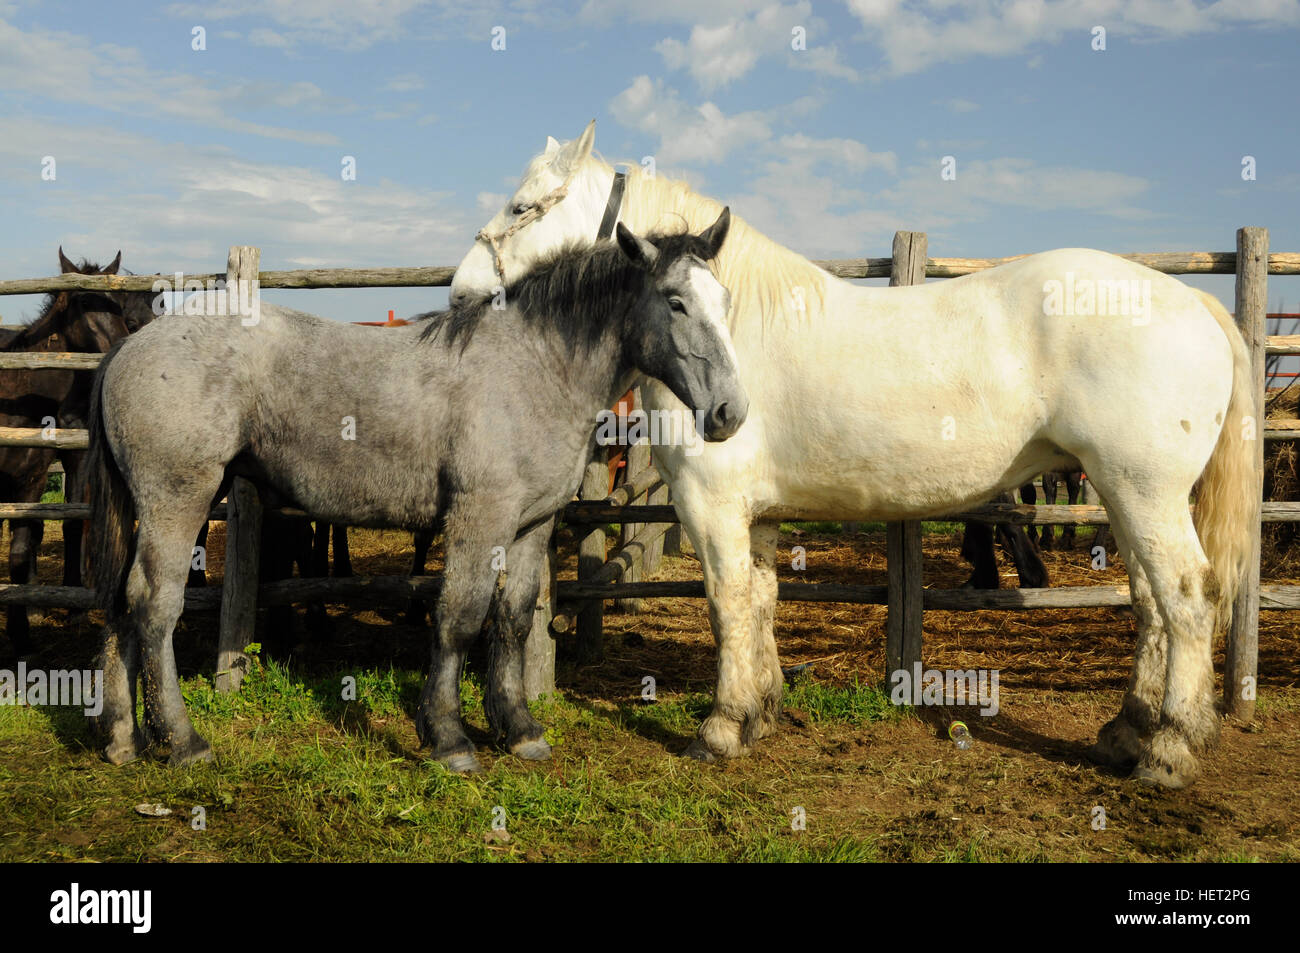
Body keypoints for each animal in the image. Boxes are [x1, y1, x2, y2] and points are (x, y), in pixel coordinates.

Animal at [86, 211, 748, 769]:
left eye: (724, 300)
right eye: (675, 301)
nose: (729, 413)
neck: (534, 367)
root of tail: (130, 346)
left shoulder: (531, 527)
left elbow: (512, 621)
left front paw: (519, 730)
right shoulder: (478, 521)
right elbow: (459, 618)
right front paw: (449, 737)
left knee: (122, 601)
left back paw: (123, 739)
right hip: (179, 499)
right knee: (154, 603)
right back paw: (182, 740)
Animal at [454, 120, 1258, 790]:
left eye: (523, 207)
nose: (461, 290)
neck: (731, 332)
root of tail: (1195, 301)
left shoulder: (712, 506)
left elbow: (725, 602)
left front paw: (720, 728)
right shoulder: (757, 513)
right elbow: (761, 601)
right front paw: (761, 712)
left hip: (1142, 491)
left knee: (1186, 598)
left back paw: (1170, 749)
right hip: (1128, 495)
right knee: (1151, 604)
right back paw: (1127, 731)